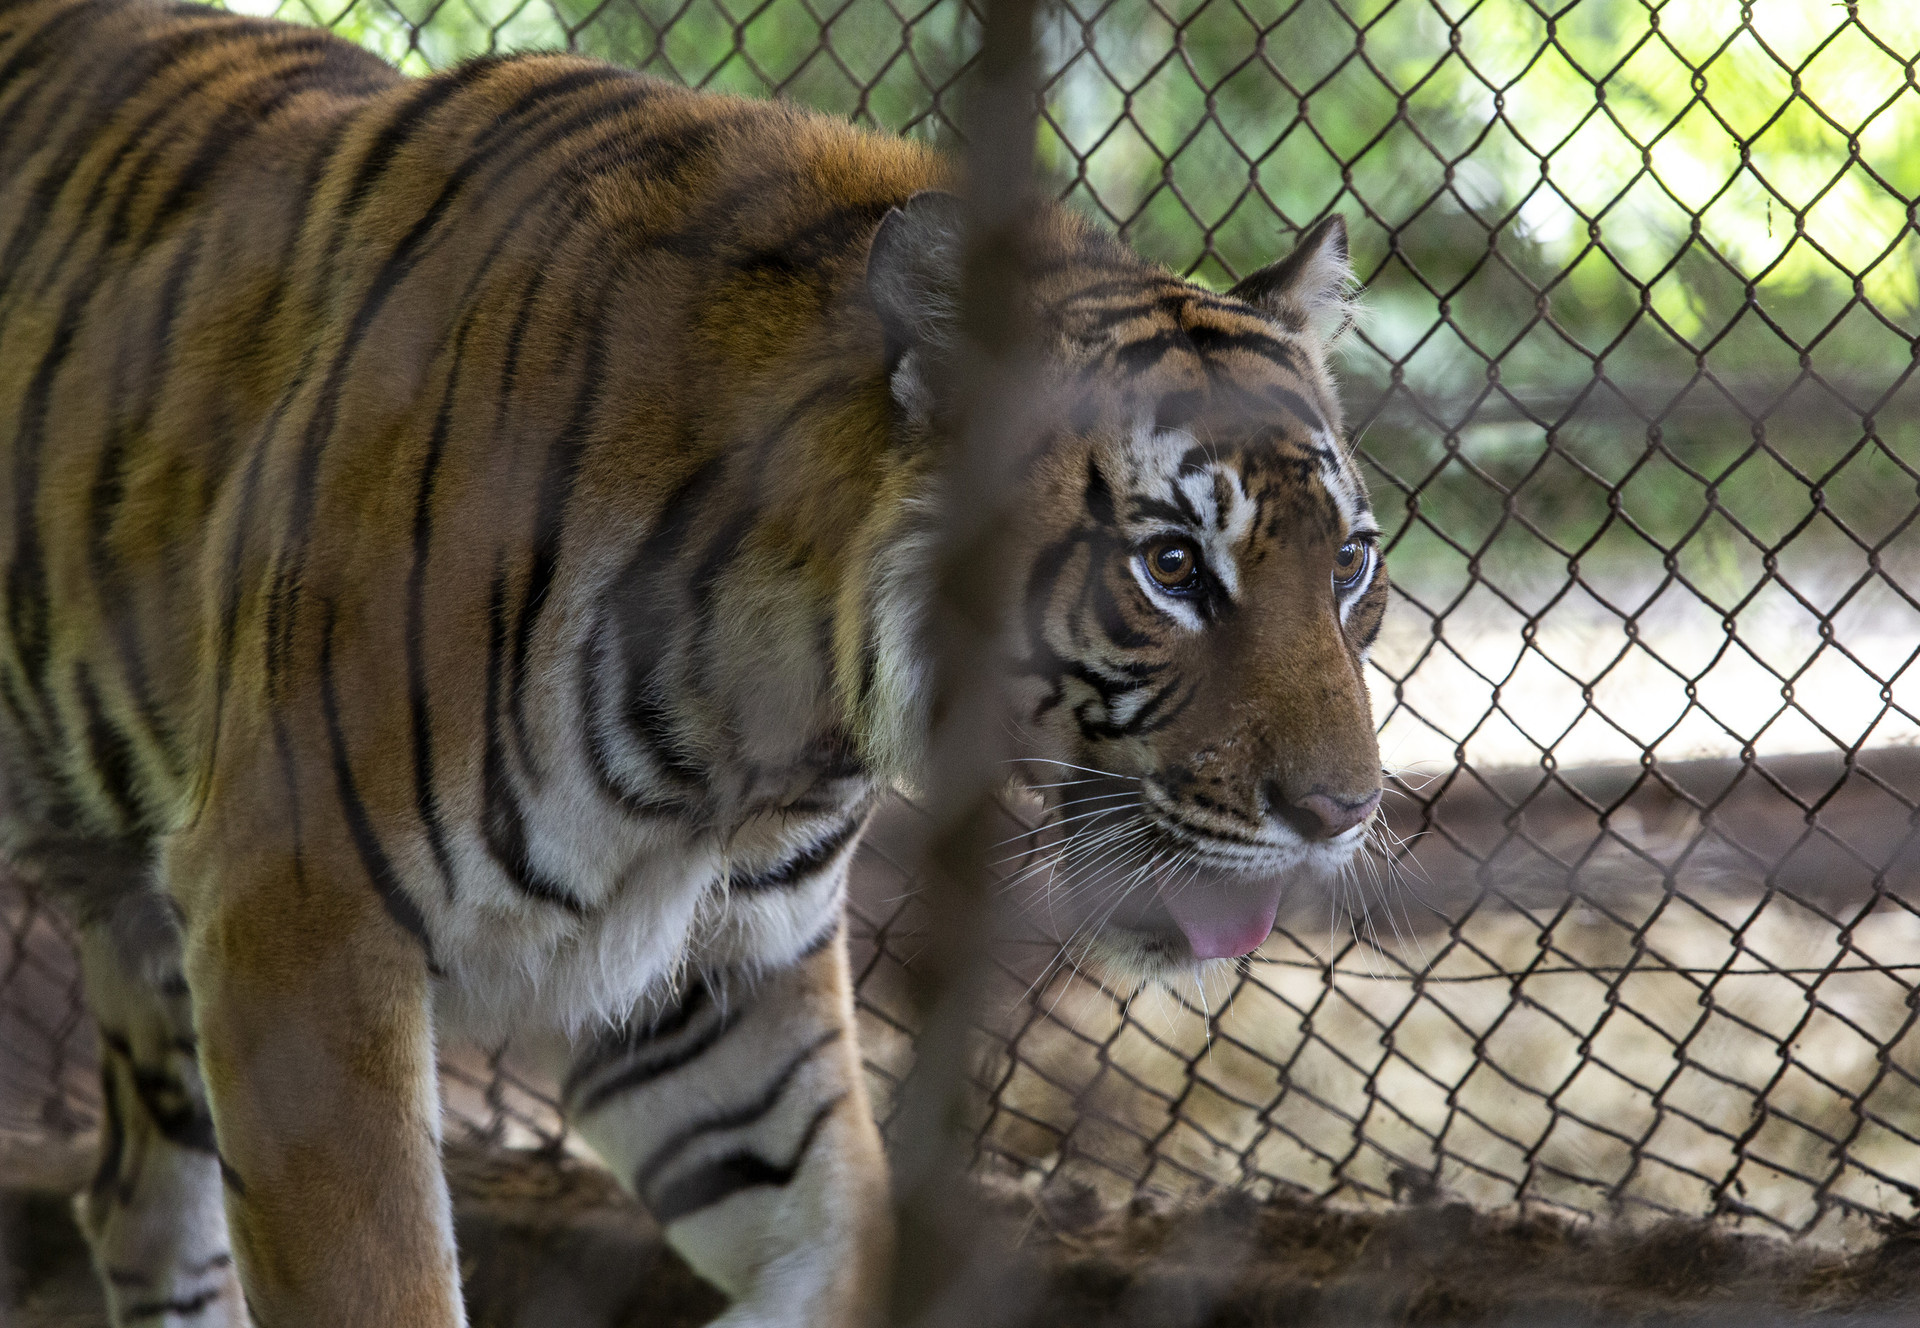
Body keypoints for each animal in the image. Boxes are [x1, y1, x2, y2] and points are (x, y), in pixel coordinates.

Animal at [0, 0, 1388, 1321]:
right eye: (1172, 565)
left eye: (1351, 567)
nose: (1345, 811)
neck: (761, 737)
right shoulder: (298, 913)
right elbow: (381, 1278)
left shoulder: (723, 989)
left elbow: (843, 1236)